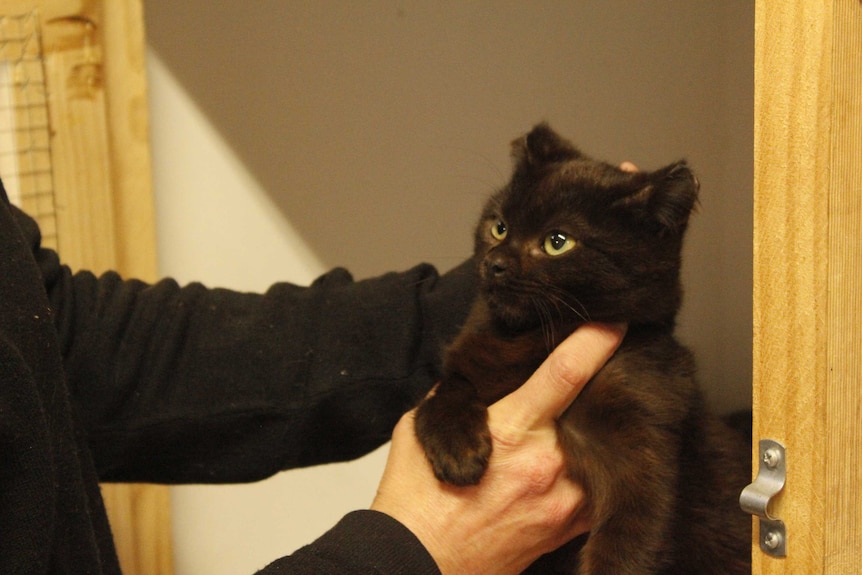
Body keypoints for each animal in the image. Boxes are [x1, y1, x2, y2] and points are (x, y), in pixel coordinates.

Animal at [416, 126, 748, 575]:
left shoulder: (641, 438)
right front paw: (457, 449)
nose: (495, 263)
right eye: (499, 226)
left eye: (558, 242)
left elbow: (628, 543)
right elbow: (444, 391)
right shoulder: (470, 357)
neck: (533, 340)